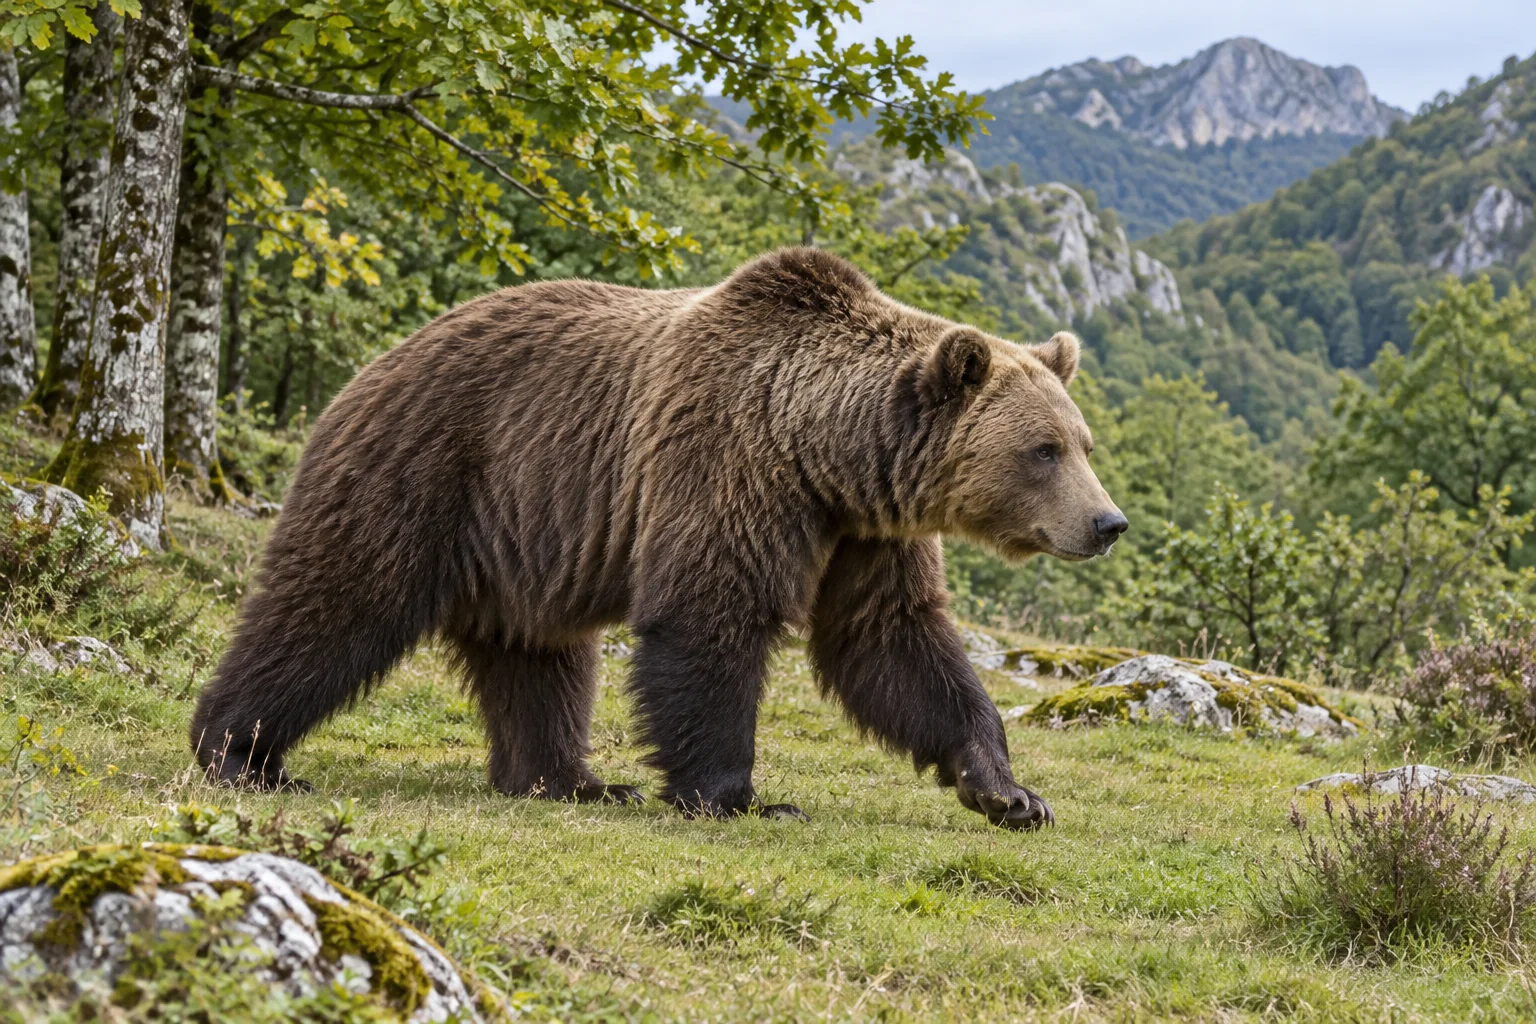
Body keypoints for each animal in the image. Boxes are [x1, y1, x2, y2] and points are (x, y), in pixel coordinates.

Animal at [189, 247, 1127, 829]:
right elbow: (710, 617)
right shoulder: (727, 462)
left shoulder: (866, 532)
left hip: (525, 537)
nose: (1107, 522)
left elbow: (893, 641)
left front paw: (1007, 790)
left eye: (1082, 443)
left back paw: (570, 781)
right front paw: (737, 795)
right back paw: (241, 753)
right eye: (1043, 449)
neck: (823, 451)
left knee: (541, 658)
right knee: (335, 605)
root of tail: (376, 363)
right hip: (420, 470)